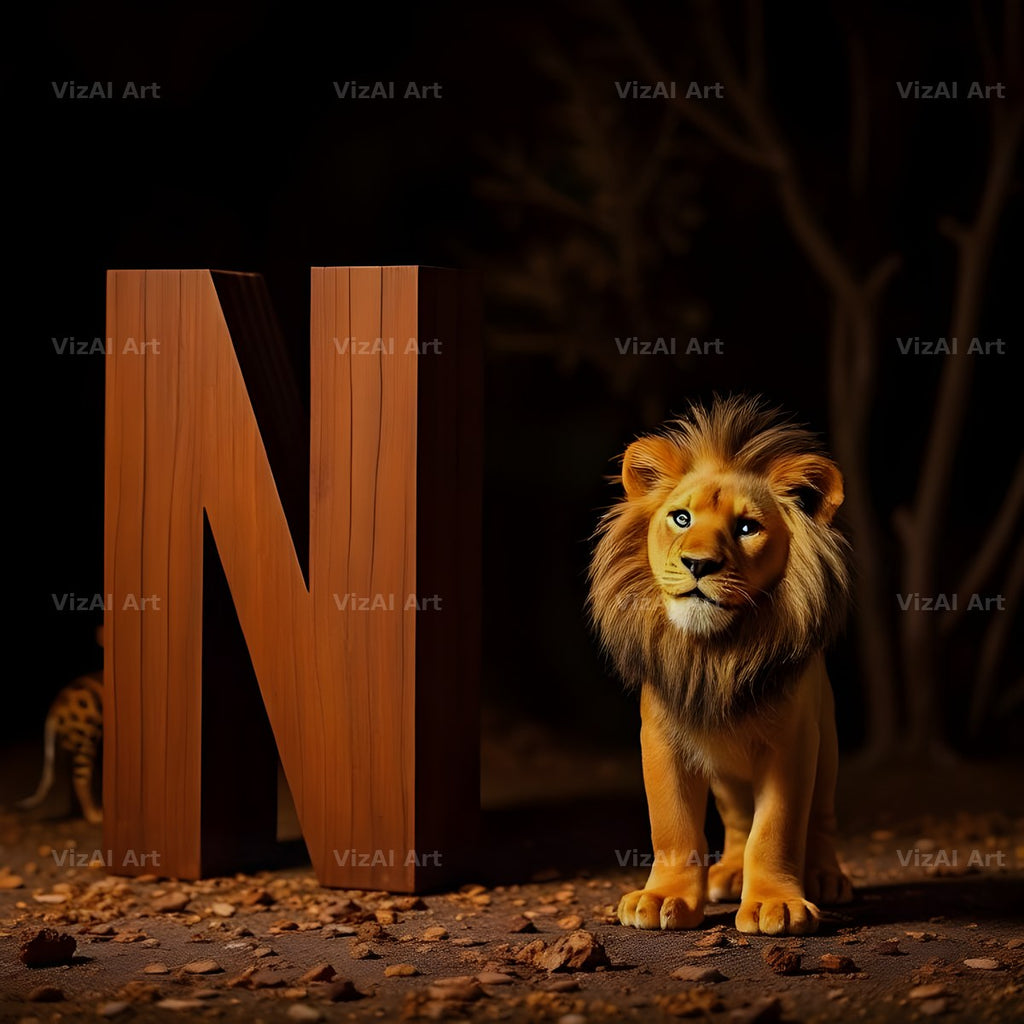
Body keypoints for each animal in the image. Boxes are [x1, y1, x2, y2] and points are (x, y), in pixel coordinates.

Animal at [588, 395, 853, 936]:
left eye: (747, 528)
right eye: (681, 519)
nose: (698, 564)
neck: (716, 652)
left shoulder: (792, 741)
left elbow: (775, 829)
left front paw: (776, 904)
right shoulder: (661, 738)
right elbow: (673, 826)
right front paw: (663, 898)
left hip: (829, 746)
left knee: (819, 819)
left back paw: (823, 877)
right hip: (728, 778)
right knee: (736, 820)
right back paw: (730, 874)